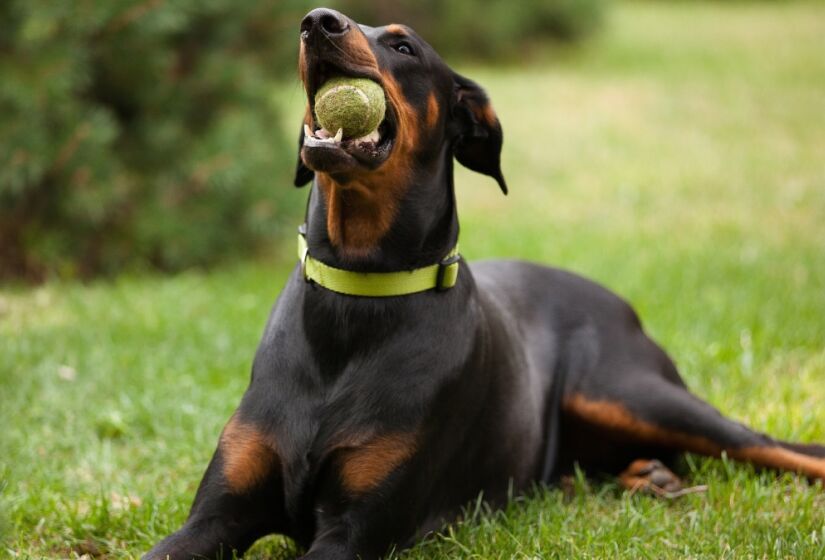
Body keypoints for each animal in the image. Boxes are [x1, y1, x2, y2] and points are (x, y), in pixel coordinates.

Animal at [146, 8, 824, 560]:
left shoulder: (354, 531)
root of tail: (618, 301)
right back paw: (647, 476)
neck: (356, 298)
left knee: (765, 443)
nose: (317, 22)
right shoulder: (214, 517)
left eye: (404, 46)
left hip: (627, 390)